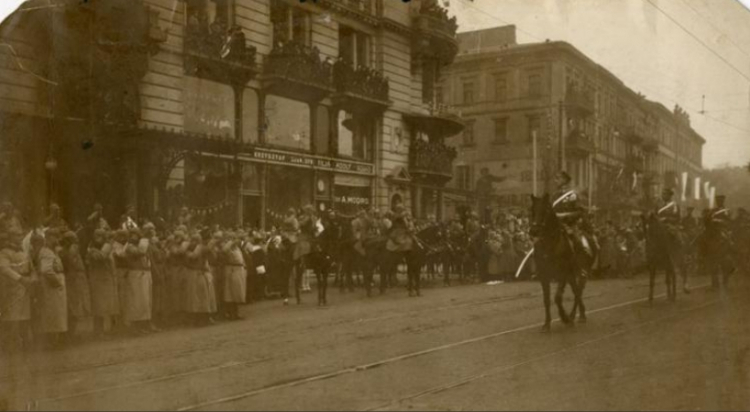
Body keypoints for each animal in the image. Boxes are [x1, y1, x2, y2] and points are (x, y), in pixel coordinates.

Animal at [532, 195, 592, 334]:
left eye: (545, 210)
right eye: (532, 209)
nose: (534, 231)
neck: (550, 246)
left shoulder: (563, 273)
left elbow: (557, 297)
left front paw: (565, 318)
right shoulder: (544, 276)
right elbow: (547, 300)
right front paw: (546, 324)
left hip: (580, 273)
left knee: (578, 291)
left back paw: (575, 316)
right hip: (571, 276)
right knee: (576, 291)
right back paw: (579, 314)